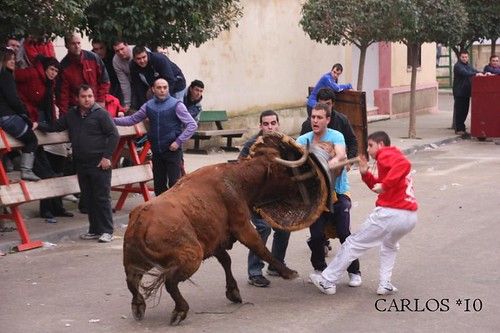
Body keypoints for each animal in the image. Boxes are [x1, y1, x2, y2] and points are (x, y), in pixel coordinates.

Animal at [124, 145, 308, 324]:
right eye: (283, 170)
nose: (298, 189)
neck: (237, 180)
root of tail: (141, 219)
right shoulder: (243, 227)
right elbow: (261, 249)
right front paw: (288, 272)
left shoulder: (216, 238)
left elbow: (226, 260)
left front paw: (233, 291)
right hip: (193, 256)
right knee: (169, 281)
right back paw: (180, 310)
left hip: (136, 260)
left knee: (132, 280)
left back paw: (138, 305)